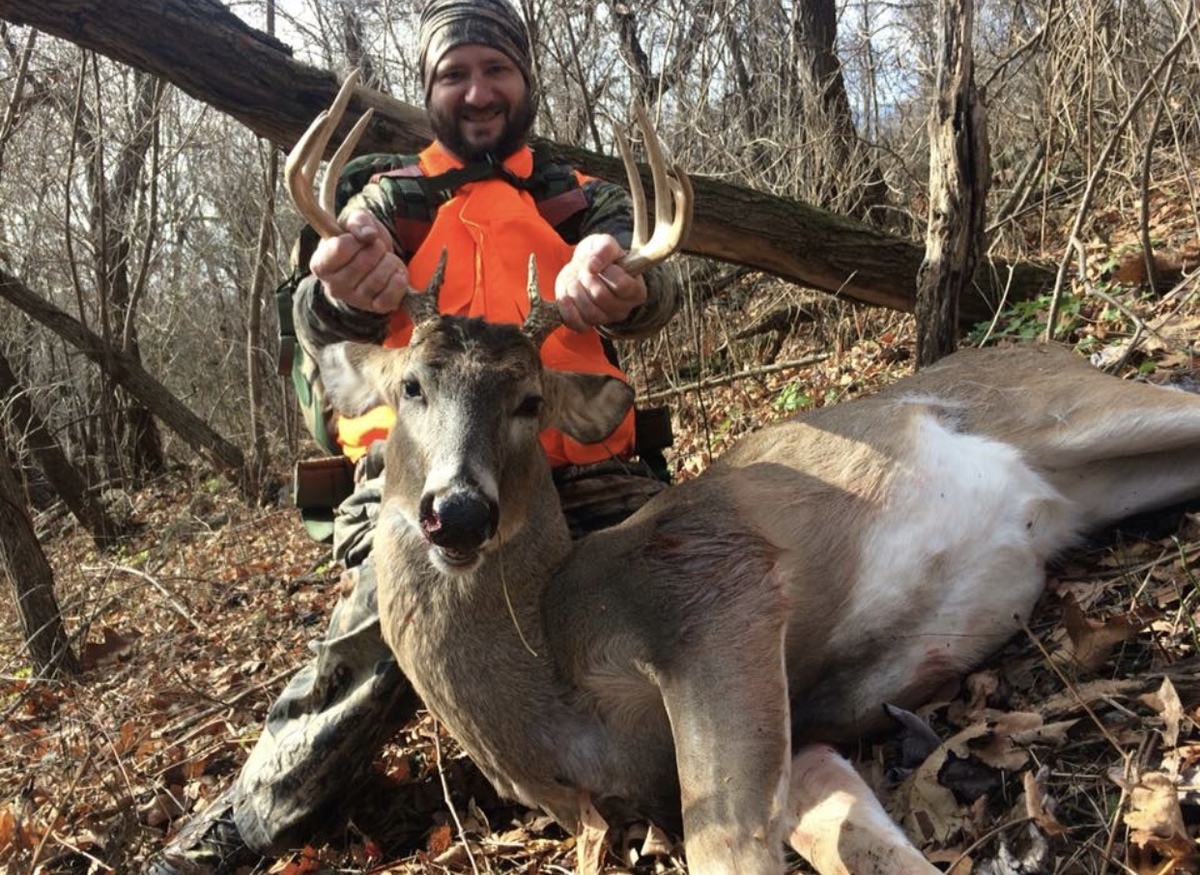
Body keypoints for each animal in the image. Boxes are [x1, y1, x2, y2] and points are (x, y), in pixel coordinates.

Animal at [285, 74, 1200, 875]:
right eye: (411, 385)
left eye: (529, 399)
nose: (460, 511)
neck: (552, 674)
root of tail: (1048, 346)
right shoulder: (799, 739)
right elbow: (854, 841)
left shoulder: (711, 591)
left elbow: (725, 847)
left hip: (1068, 406)